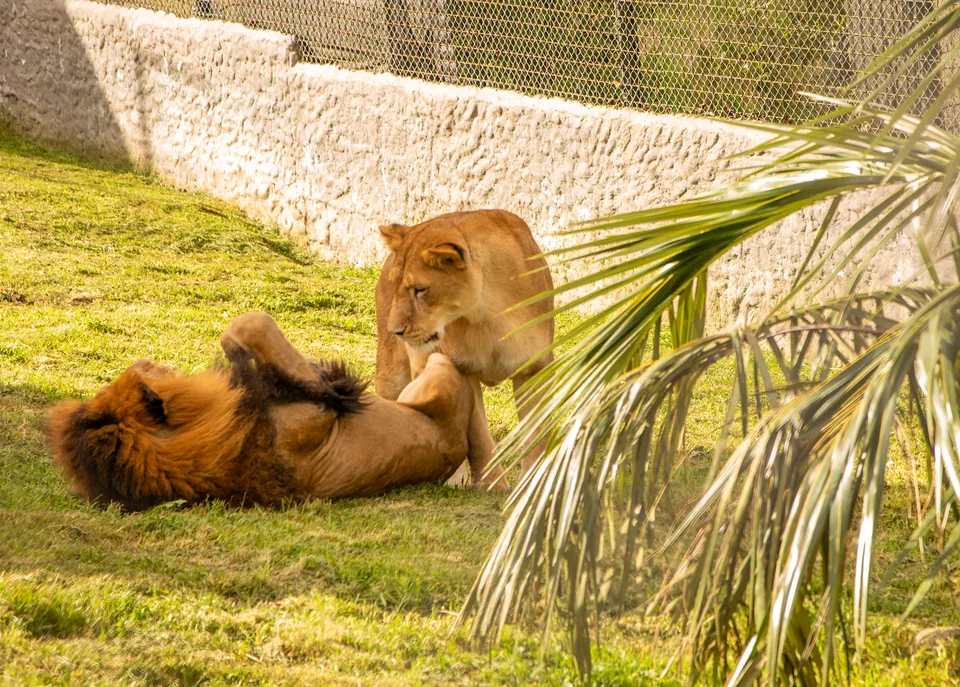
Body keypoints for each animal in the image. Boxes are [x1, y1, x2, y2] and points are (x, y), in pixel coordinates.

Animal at [375, 210, 554, 482]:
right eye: (396, 286)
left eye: (420, 290)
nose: (394, 331)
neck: (490, 313)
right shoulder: (464, 369)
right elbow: (480, 440)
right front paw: (491, 485)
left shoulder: (534, 369)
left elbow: (537, 437)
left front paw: (531, 485)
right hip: (394, 375)